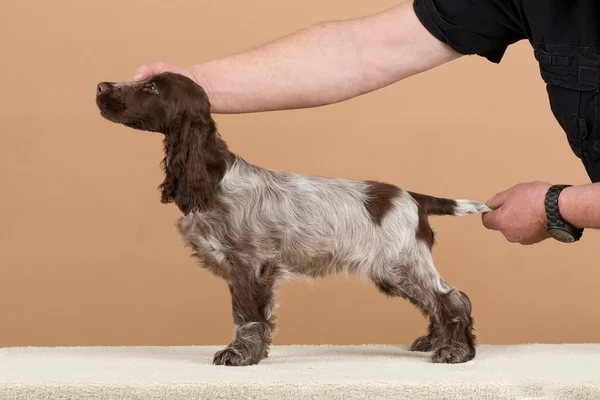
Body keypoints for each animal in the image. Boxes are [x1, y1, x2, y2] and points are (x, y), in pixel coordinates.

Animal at [96, 72, 490, 366]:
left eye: (151, 87)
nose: (101, 86)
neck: (213, 175)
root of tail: (411, 197)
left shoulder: (250, 265)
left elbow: (247, 317)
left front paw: (240, 355)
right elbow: (257, 318)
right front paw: (256, 353)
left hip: (401, 262)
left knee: (452, 298)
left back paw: (457, 351)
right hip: (392, 272)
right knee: (437, 301)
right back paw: (435, 341)